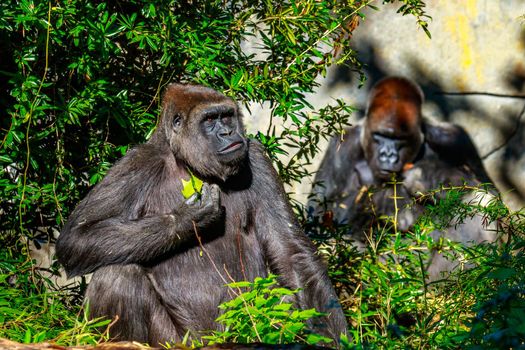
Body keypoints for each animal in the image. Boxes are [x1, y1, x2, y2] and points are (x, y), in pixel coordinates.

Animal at [56, 84, 348, 344]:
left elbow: (291, 254)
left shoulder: (256, 157)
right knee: (116, 276)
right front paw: (189, 218)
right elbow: (77, 236)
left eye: (227, 116)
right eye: (209, 120)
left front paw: (332, 337)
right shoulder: (136, 163)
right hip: (177, 342)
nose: (228, 131)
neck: (187, 163)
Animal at [308, 76, 496, 278]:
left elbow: (489, 189)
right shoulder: (343, 145)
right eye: (379, 135)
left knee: (479, 202)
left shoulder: (454, 138)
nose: (388, 156)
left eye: (400, 140)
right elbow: (320, 220)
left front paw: (428, 175)